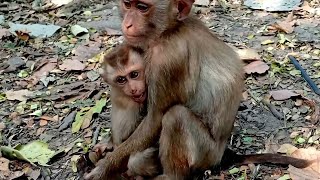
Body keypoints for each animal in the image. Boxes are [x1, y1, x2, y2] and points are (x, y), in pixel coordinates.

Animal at [84, 0, 312, 179]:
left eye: (142, 7)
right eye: (127, 4)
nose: (127, 23)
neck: (170, 30)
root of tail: (221, 154)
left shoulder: (166, 60)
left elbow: (154, 119)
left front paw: (103, 169)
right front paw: (106, 147)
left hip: (205, 154)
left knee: (175, 116)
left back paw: (169, 176)